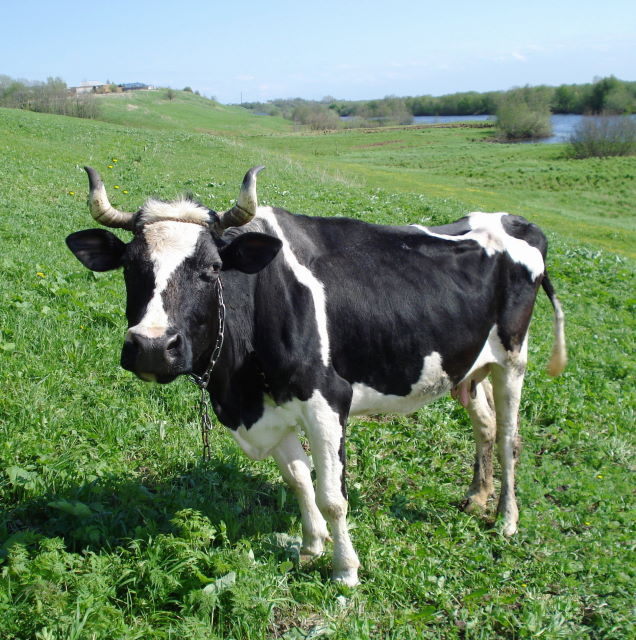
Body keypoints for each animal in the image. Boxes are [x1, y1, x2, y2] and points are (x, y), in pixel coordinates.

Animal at [66, 165, 566, 586]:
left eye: (211, 269)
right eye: (130, 267)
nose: (151, 347)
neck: (239, 390)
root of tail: (519, 222)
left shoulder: (326, 401)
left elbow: (331, 494)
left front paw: (345, 571)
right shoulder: (274, 408)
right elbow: (297, 479)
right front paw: (310, 548)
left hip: (513, 358)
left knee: (509, 437)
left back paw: (507, 520)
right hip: (467, 366)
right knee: (484, 425)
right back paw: (477, 498)